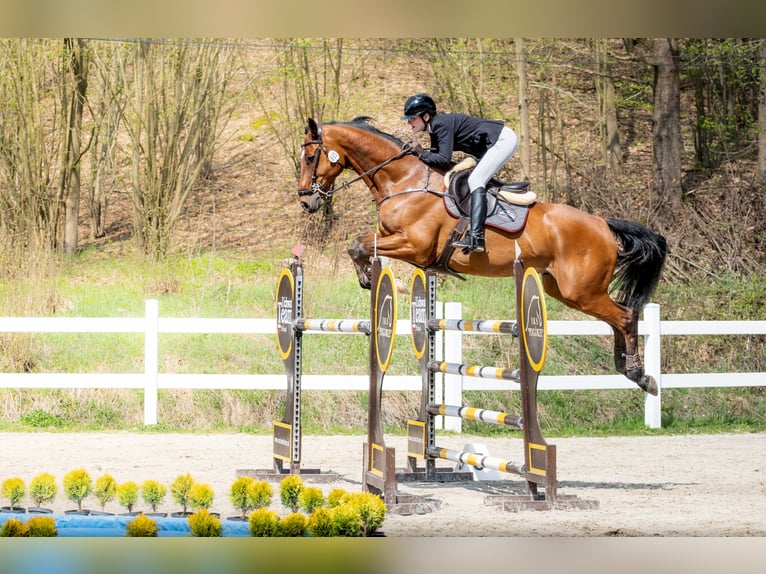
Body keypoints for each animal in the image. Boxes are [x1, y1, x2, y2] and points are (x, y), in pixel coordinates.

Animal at [296, 116, 667, 395]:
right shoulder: (394, 240)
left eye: (310, 158)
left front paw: (372, 279)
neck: (405, 180)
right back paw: (627, 367)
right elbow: (358, 244)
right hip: (561, 288)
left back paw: (638, 373)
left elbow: (358, 246)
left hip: (582, 290)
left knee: (625, 316)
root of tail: (604, 224)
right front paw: (373, 278)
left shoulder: (413, 244)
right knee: (618, 316)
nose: (305, 200)